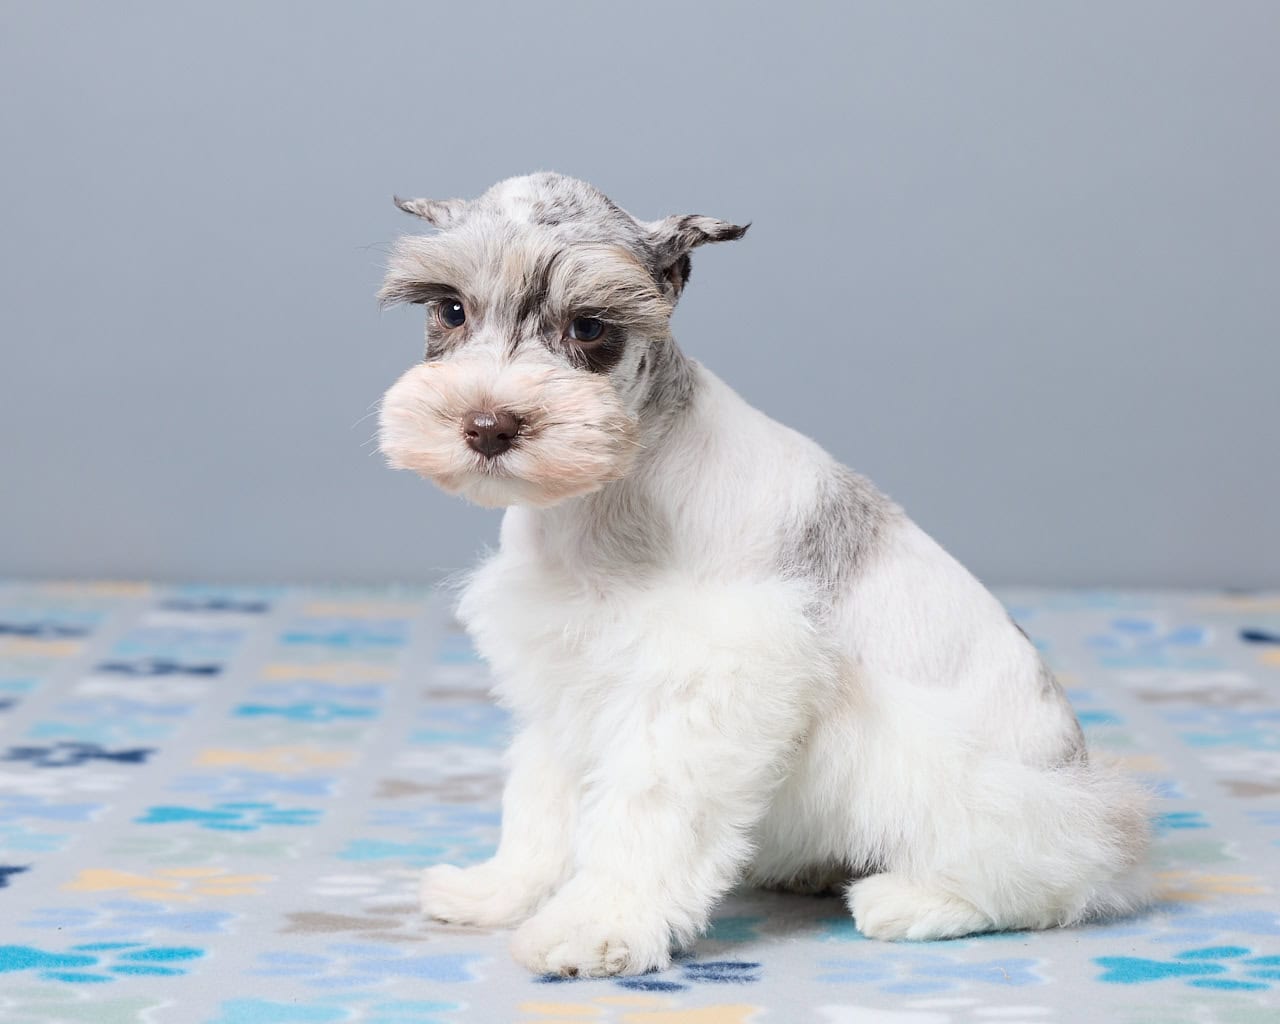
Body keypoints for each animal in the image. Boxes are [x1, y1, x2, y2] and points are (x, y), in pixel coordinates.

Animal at [377, 172, 1151, 978]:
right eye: (450, 309)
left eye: (589, 326)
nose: (488, 425)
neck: (609, 498)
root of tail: (1086, 783)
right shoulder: (563, 677)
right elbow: (540, 801)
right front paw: (503, 891)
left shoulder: (705, 686)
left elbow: (645, 809)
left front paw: (596, 926)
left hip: (968, 786)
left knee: (1059, 876)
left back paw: (916, 900)